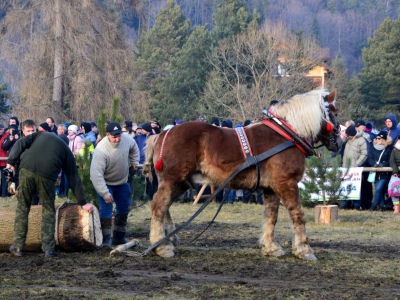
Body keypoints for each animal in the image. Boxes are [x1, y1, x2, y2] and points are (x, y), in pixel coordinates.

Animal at [145, 89, 342, 260]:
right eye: (335, 112)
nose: (338, 141)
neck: (287, 134)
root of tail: (162, 134)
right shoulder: (287, 183)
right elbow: (298, 214)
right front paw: (304, 249)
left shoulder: (271, 187)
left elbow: (271, 216)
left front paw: (270, 247)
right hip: (173, 180)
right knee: (159, 205)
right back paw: (161, 245)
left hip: (181, 182)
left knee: (165, 206)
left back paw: (169, 238)